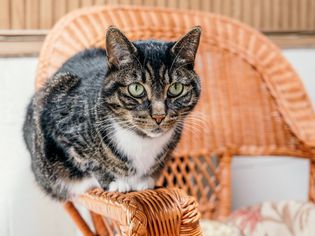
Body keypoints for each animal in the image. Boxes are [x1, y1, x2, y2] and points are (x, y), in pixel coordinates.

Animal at [24, 25, 202, 201]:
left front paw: (146, 180)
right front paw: (114, 182)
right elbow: (89, 161)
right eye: (136, 88)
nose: (159, 115)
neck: (141, 140)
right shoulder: (62, 124)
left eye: (176, 88)